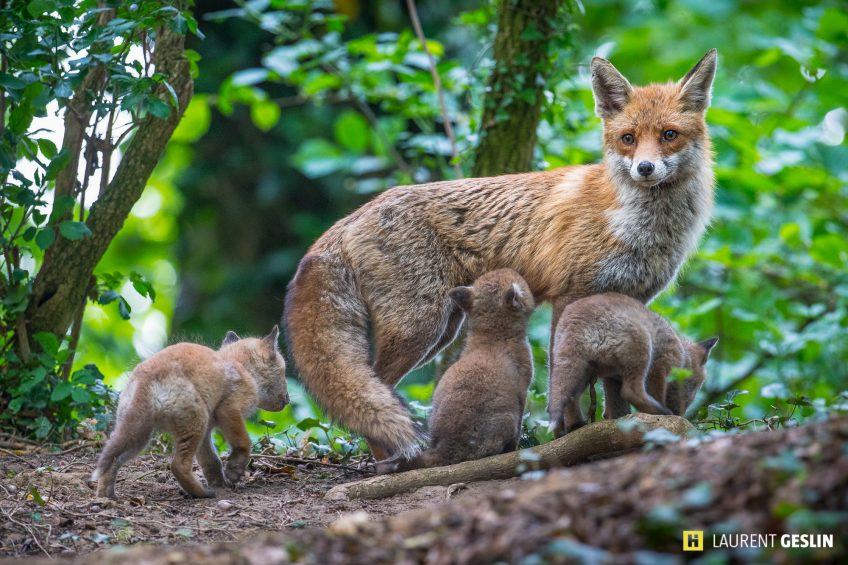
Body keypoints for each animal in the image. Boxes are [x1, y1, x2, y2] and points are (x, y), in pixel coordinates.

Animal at [91, 326, 288, 499]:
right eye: (284, 373)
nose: (288, 400)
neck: (242, 367)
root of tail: (146, 375)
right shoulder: (229, 409)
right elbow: (243, 443)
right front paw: (234, 471)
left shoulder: (207, 430)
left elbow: (211, 462)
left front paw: (220, 484)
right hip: (194, 423)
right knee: (178, 465)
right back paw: (201, 494)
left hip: (139, 436)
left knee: (112, 461)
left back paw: (105, 496)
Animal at [381, 269, 534, 473]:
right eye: (519, 280)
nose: (515, 269)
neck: (493, 338)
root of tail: (445, 448)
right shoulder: (522, 391)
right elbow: (519, 431)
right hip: (507, 419)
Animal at [548, 293, 718, 436]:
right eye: (695, 387)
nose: (681, 414)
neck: (682, 353)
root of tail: (575, 322)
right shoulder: (661, 366)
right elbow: (657, 394)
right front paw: (667, 418)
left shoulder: (613, 378)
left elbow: (612, 408)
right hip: (642, 347)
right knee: (631, 392)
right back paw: (661, 412)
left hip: (583, 371)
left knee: (570, 398)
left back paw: (575, 426)